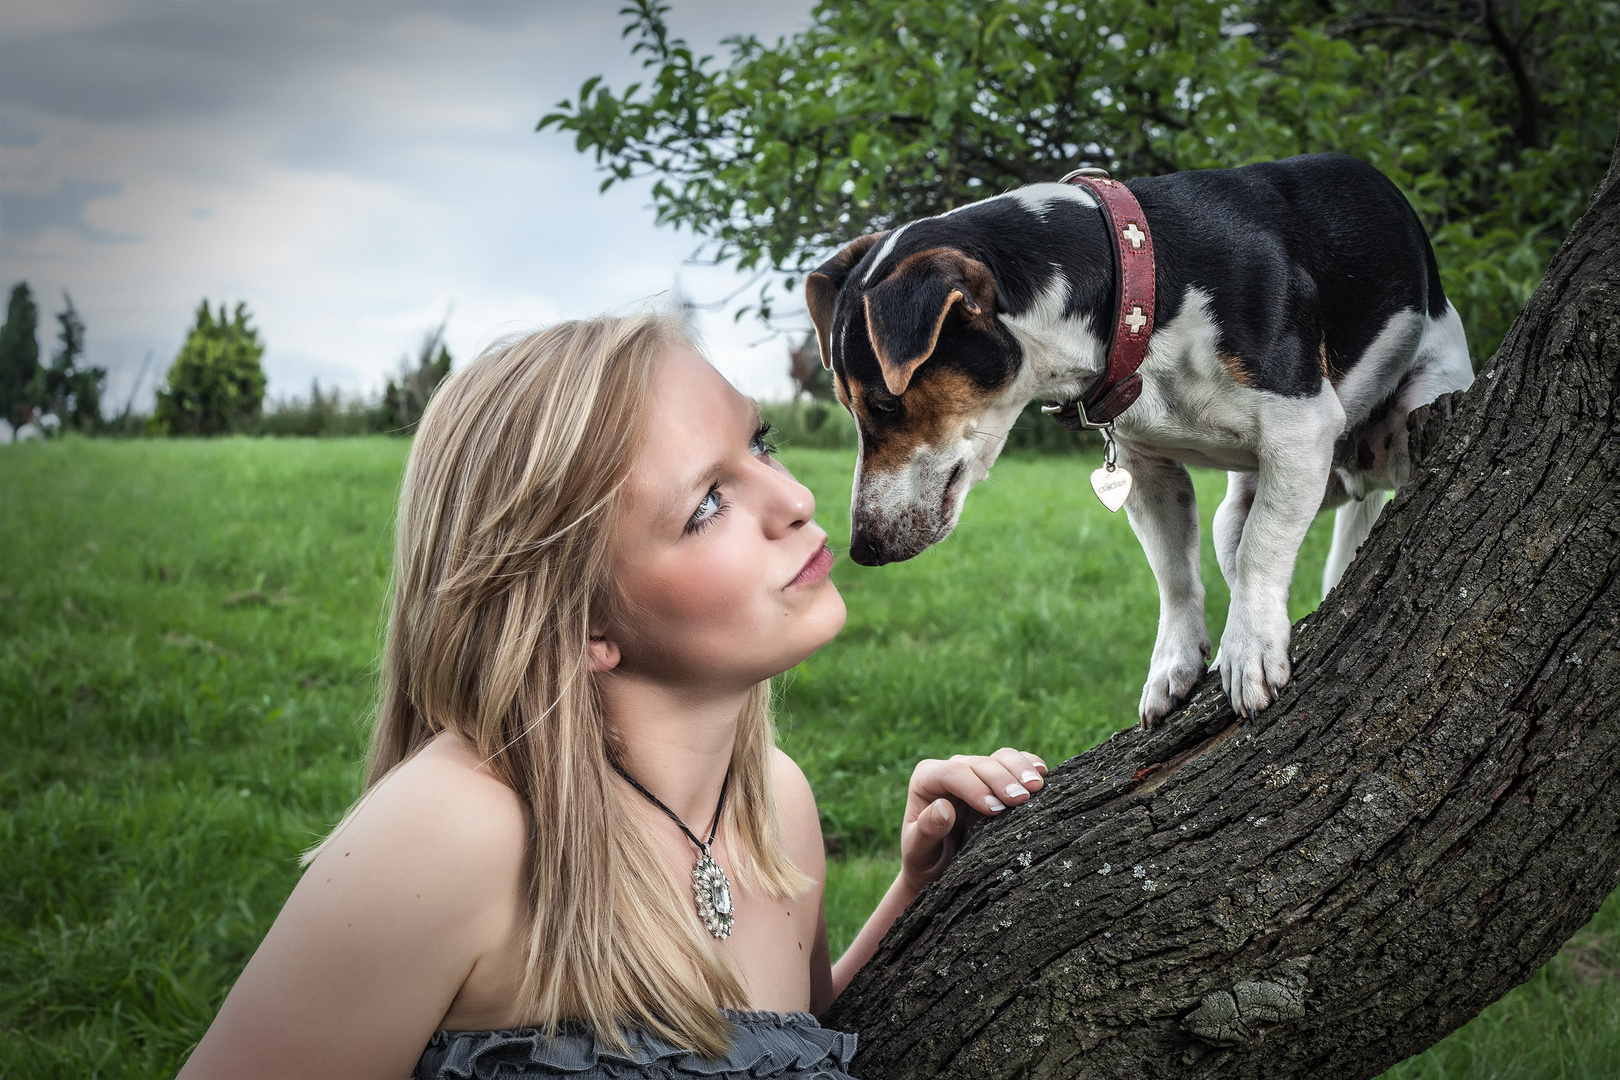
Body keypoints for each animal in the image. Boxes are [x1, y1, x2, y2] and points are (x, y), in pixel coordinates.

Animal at [803, 152, 1477, 725]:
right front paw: (1175, 666)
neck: (1140, 294)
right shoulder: (1146, 469)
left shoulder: (1298, 429)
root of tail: (1355, 475)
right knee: (1234, 542)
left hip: (1411, 411)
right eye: (849, 405)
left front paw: (1251, 651)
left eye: (886, 403)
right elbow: (1174, 574)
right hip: (1238, 505)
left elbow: (1263, 550)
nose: (862, 548)